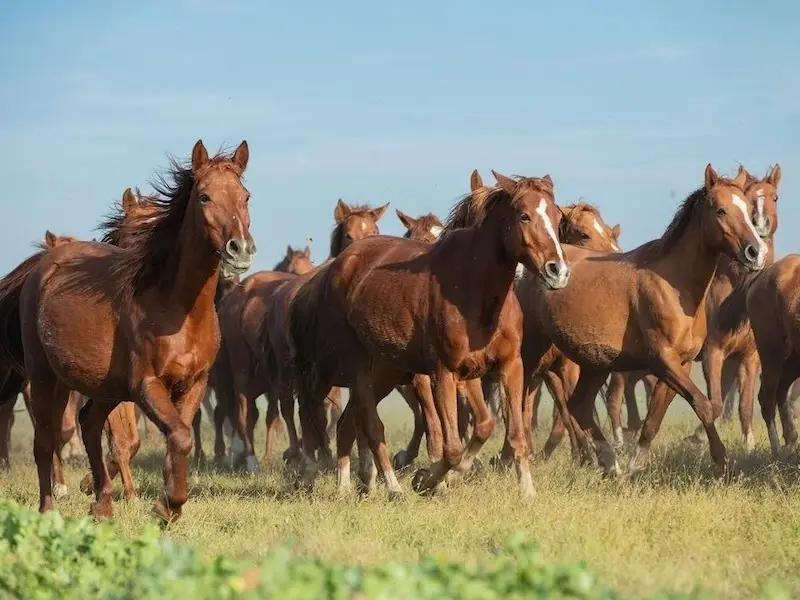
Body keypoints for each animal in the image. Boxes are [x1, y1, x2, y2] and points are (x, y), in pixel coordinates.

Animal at [0, 141, 255, 520]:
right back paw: (49, 509)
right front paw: (165, 507)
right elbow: (179, 437)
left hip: (101, 387)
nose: (240, 249)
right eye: (205, 196)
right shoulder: (146, 385)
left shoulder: (194, 384)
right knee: (45, 441)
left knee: (89, 424)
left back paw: (103, 504)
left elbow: (176, 438)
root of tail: (42, 267)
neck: (177, 308)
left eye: (246, 196)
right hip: (45, 378)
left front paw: (166, 504)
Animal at [288, 171, 568, 500]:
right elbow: (451, 447)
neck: (473, 291)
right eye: (524, 215)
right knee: (367, 424)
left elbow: (498, 430)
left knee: (347, 424)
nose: (558, 271)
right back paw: (391, 487)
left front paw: (526, 491)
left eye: (558, 216)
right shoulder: (443, 373)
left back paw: (349, 486)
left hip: (383, 372)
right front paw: (427, 479)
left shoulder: (504, 367)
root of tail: (338, 266)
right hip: (356, 368)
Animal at [524, 165, 768, 478]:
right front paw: (721, 461)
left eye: (748, 210)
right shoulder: (662, 360)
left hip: (595, 362)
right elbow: (704, 405)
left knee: (579, 405)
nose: (756, 252)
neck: (674, 285)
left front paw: (633, 468)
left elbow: (654, 420)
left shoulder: (681, 364)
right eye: (721, 210)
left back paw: (609, 463)